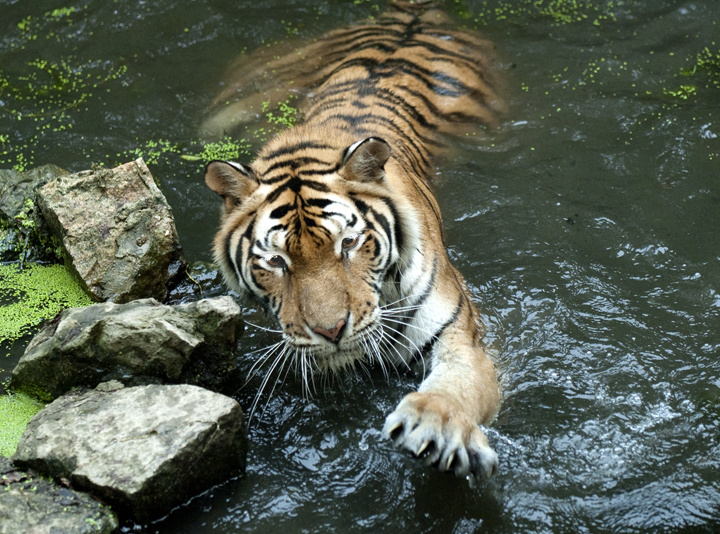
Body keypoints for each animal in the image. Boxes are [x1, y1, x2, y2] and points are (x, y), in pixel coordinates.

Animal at [202, 0, 504, 482]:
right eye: (277, 262)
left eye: (347, 244)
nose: (331, 331)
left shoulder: (460, 335)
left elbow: (458, 383)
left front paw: (437, 424)